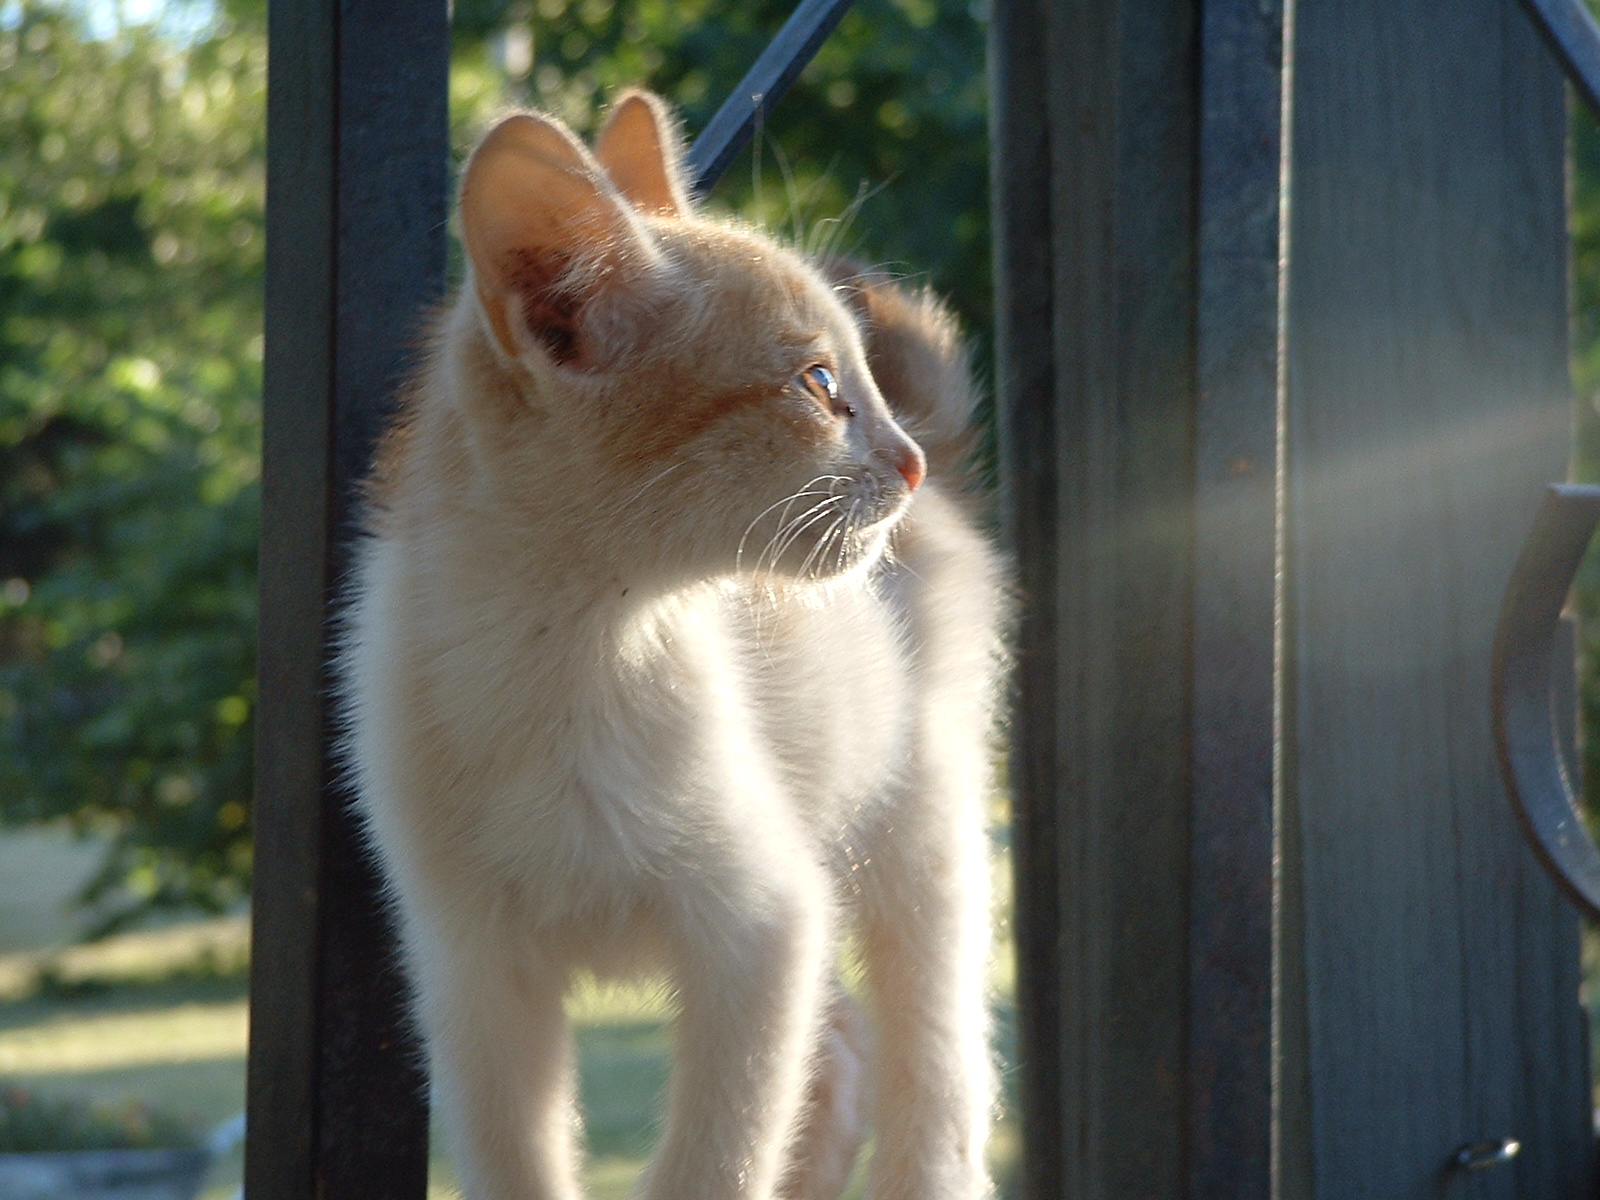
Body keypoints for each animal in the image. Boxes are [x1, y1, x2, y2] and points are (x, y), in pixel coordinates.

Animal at [342, 91, 1004, 1200]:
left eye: (856, 376)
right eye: (818, 383)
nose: (903, 460)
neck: (559, 653)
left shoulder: (760, 926)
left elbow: (714, 1157)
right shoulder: (471, 971)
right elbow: (518, 1161)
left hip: (918, 830)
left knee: (934, 1068)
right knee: (840, 1058)